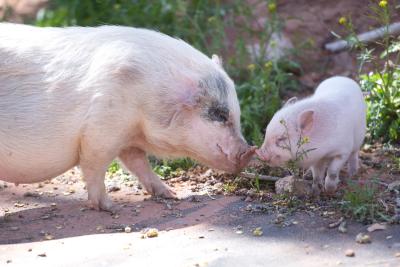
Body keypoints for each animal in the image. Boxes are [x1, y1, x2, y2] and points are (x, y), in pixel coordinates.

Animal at [0, 23, 255, 211]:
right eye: (220, 114)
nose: (249, 151)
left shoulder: (128, 137)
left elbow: (138, 162)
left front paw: (170, 195)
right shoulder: (101, 129)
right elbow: (94, 166)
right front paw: (109, 207)